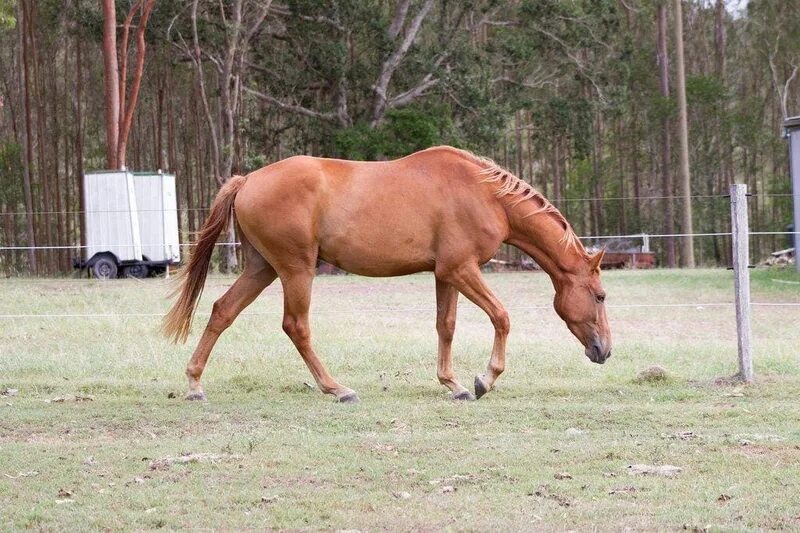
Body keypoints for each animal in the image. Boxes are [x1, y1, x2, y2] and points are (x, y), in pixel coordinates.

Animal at [162, 143, 612, 402]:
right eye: (601, 296)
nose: (605, 350)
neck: (485, 194)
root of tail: (248, 180)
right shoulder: (462, 269)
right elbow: (501, 316)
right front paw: (485, 379)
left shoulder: (446, 274)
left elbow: (445, 326)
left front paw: (453, 385)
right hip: (295, 270)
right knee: (296, 326)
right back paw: (336, 388)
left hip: (262, 269)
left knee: (222, 311)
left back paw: (195, 383)